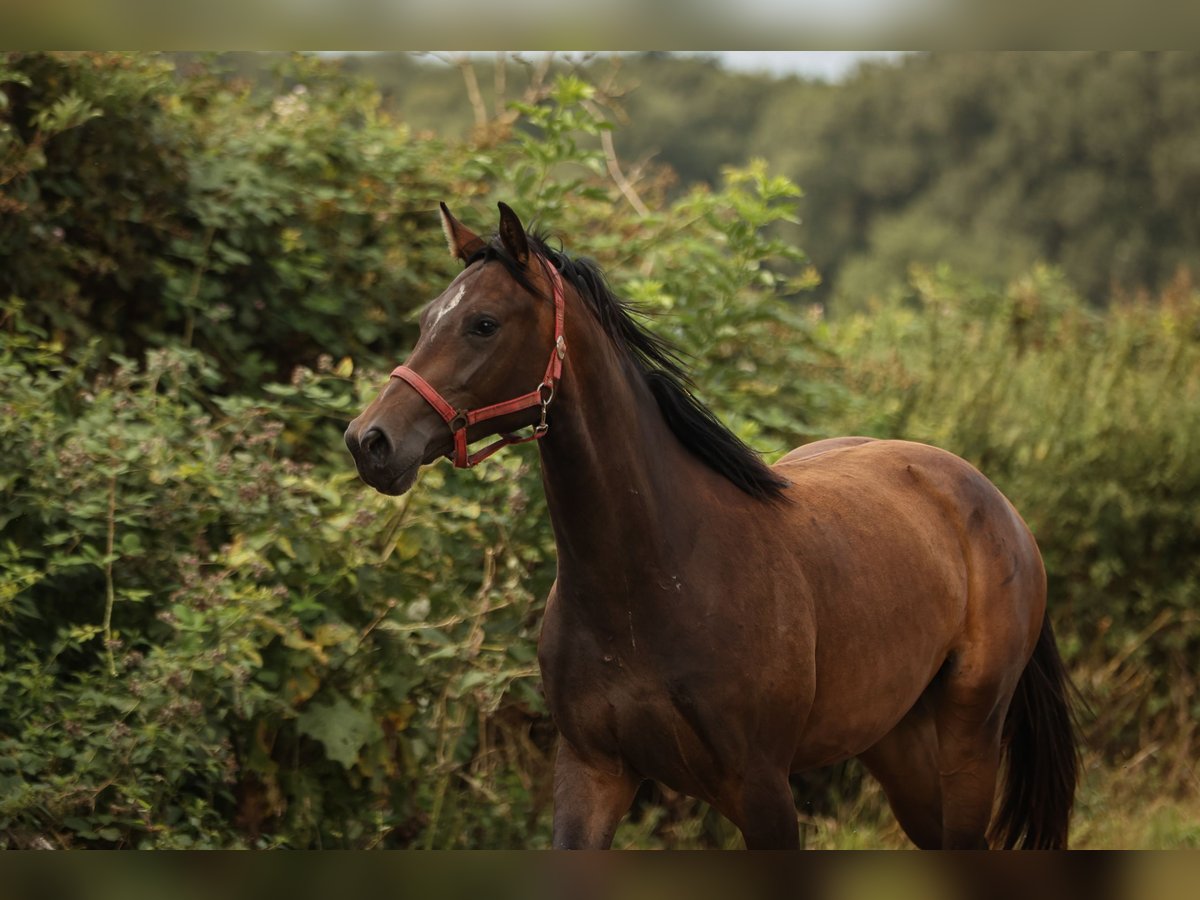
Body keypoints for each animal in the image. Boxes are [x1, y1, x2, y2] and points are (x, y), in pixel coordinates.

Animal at [345, 204, 1080, 854]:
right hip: (897, 744)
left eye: (484, 323)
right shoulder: (591, 773)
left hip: (969, 738)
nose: (369, 442)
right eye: (427, 320)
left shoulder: (762, 790)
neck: (654, 575)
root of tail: (996, 505)